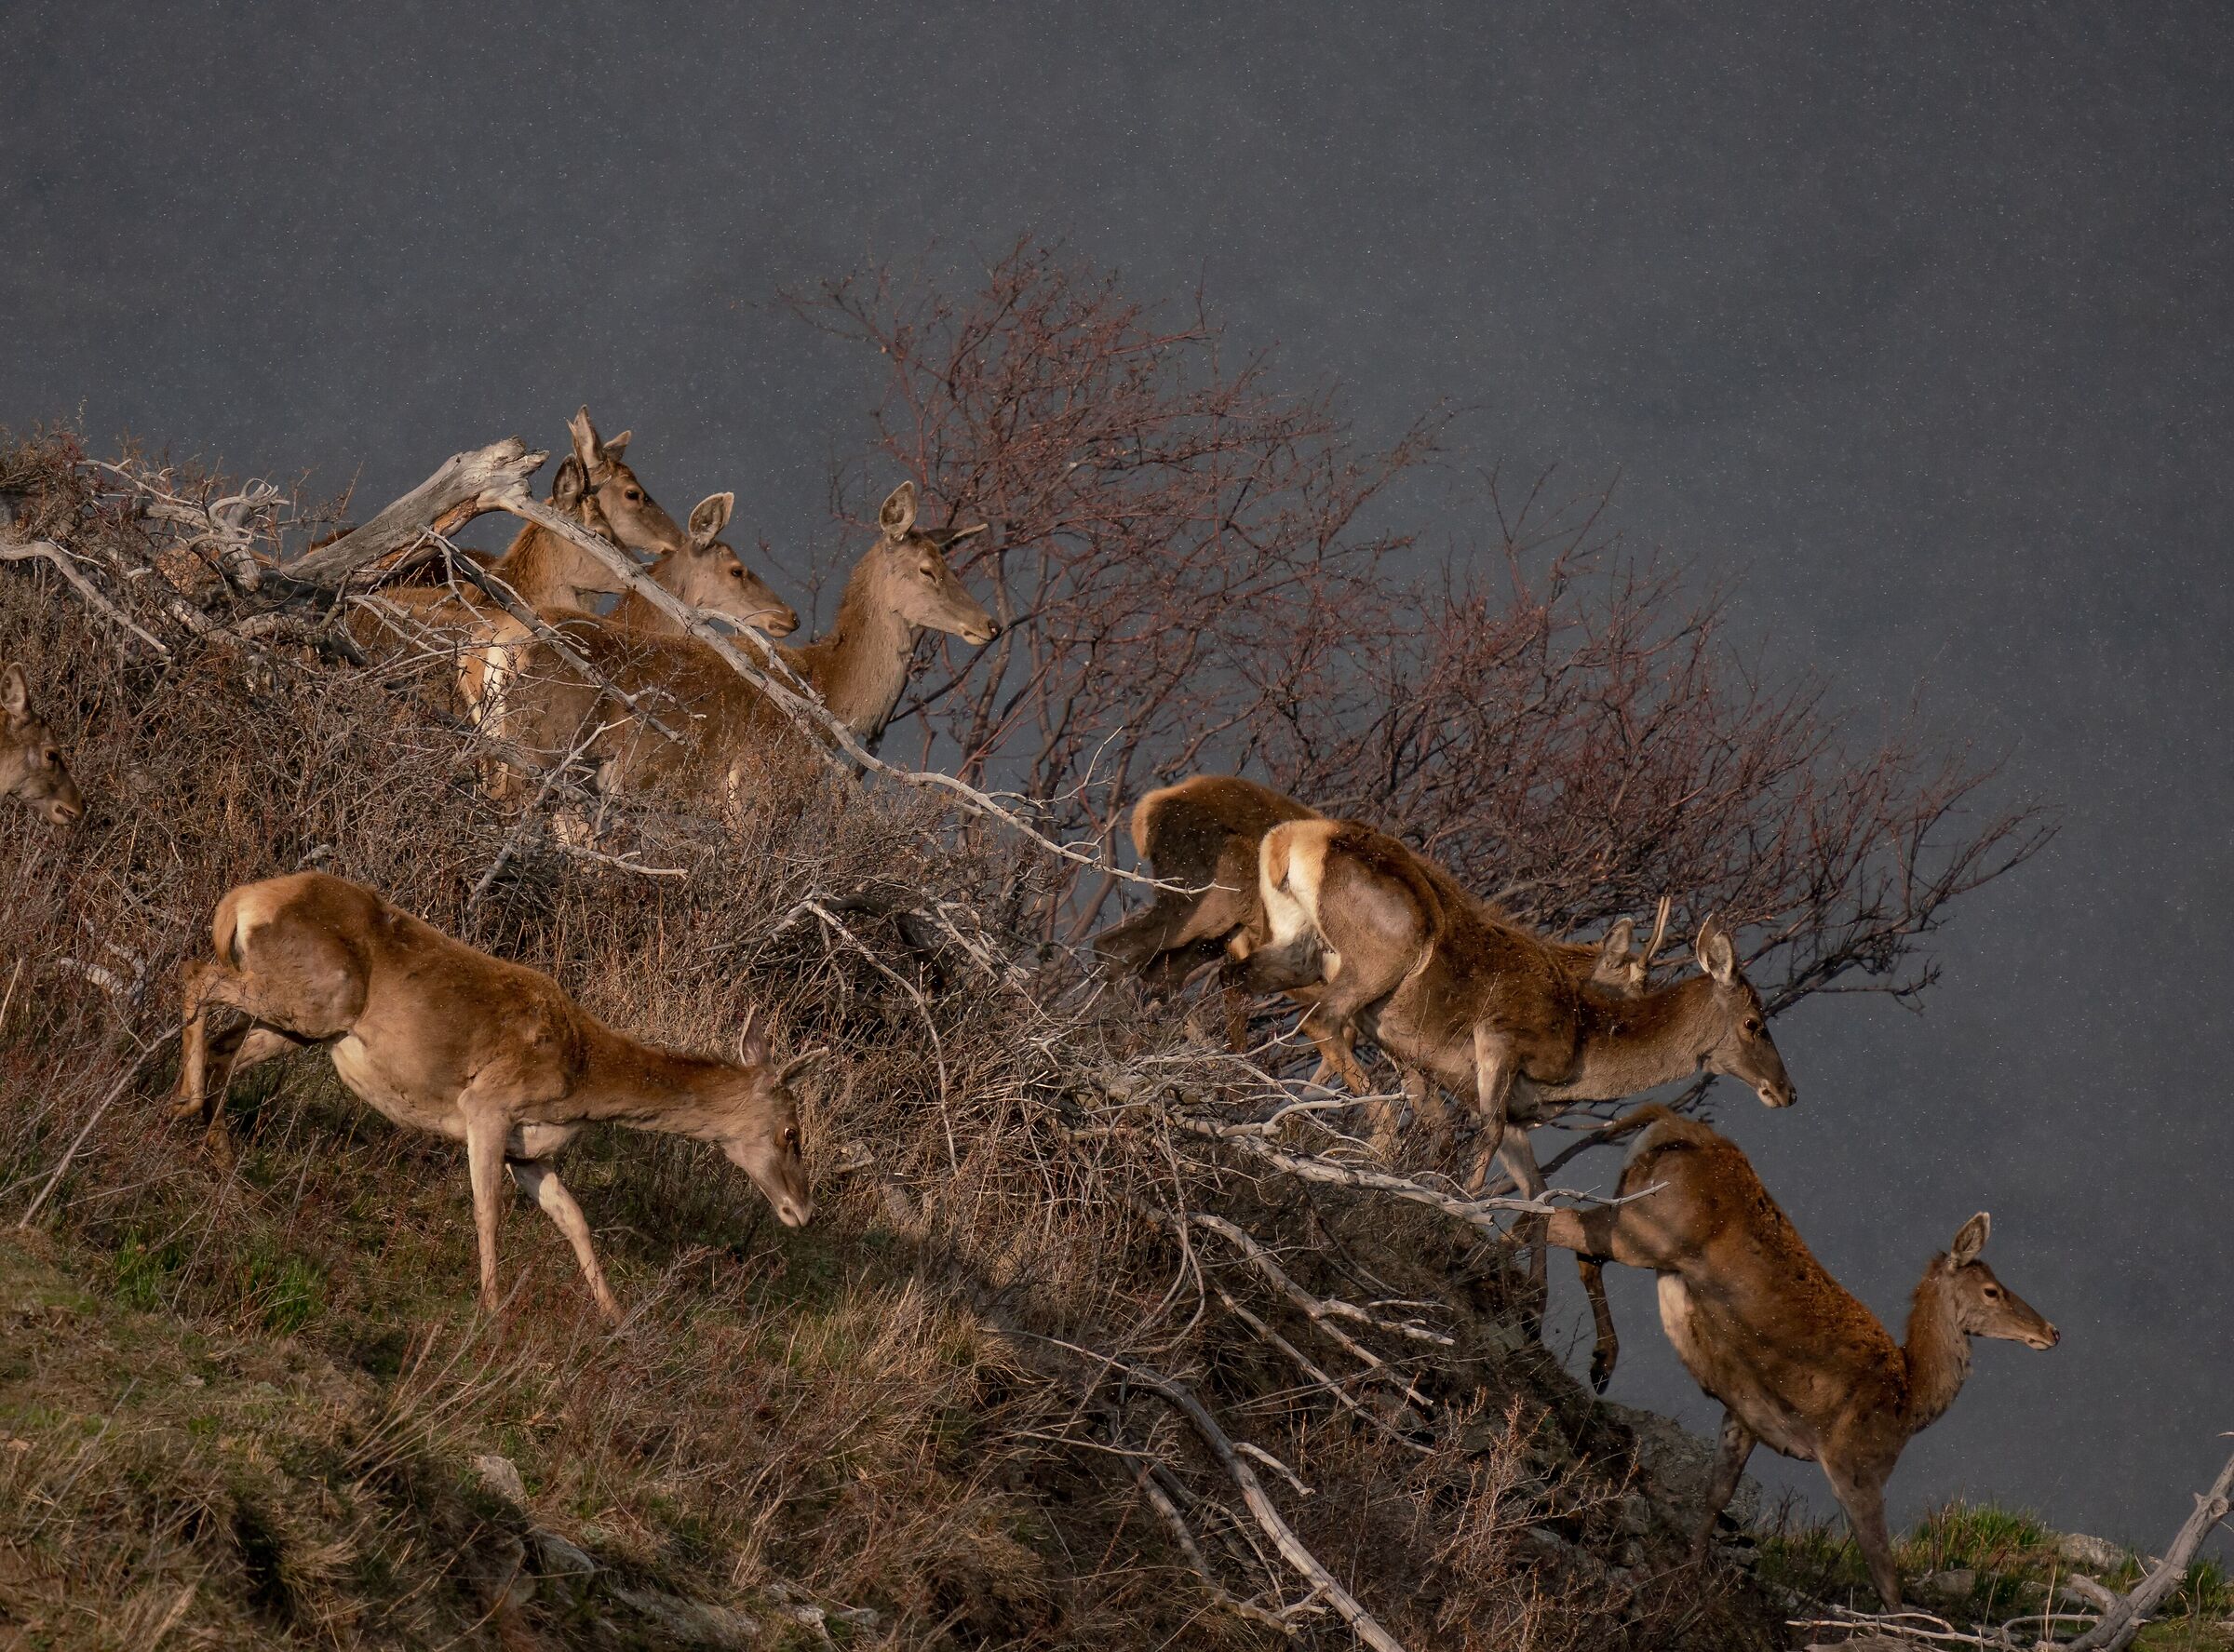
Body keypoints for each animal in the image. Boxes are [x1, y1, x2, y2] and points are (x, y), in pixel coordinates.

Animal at [172, 872, 820, 1322]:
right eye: (792, 1132)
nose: (803, 1212)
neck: (584, 1077)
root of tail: (242, 900)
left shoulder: (529, 1149)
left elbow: (575, 1219)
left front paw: (615, 1316)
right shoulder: (488, 1104)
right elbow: (489, 1210)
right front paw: (491, 1305)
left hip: (303, 1024)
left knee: (227, 1044)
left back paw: (215, 1146)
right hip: (316, 996)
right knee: (196, 974)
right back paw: (185, 1105)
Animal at [480, 480, 998, 800]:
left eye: (950, 564)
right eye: (927, 570)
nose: (990, 624)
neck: (829, 694)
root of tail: (504, 649)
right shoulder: (754, 787)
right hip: (539, 745)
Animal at [1546, 1105, 2058, 1609]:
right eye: (1992, 1290)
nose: (2051, 1331)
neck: (1909, 1401)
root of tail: (1668, 1120)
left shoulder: (1745, 1414)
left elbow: (1717, 1494)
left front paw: (1692, 1575)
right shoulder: (1855, 1464)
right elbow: (1887, 1583)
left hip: (1630, 1213)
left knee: (1574, 1241)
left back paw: (1596, 1357)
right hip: (1648, 1230)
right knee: (1551, 1220)